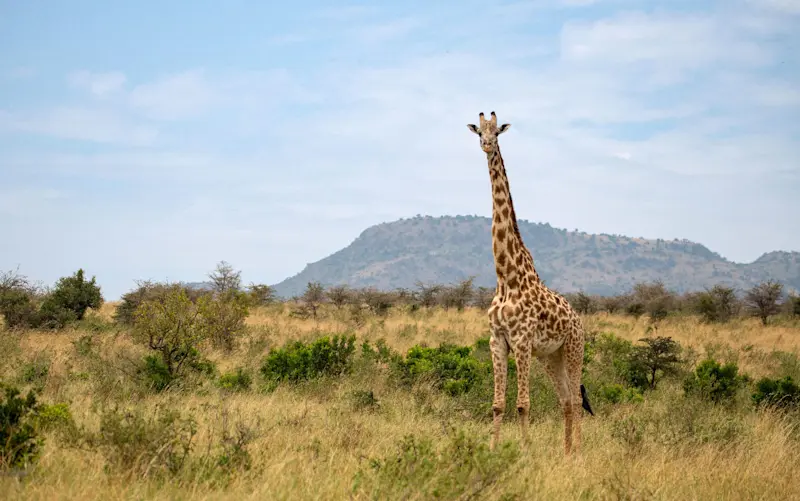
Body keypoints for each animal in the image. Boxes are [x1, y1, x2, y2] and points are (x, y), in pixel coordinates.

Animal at [467, 111, 594, 455]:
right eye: (478, 132)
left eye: (497, 131)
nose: (486, 145)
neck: (506, 277)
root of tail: (579, 320)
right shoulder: (497, 340)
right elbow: (498, 404)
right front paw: (493, 449)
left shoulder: (522, 341)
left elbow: (522, 403)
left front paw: (523, 451)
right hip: (551, 357)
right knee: (566, 400)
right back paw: (566, 451)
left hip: (574, 348)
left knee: (577, 399)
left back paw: (578, 451)